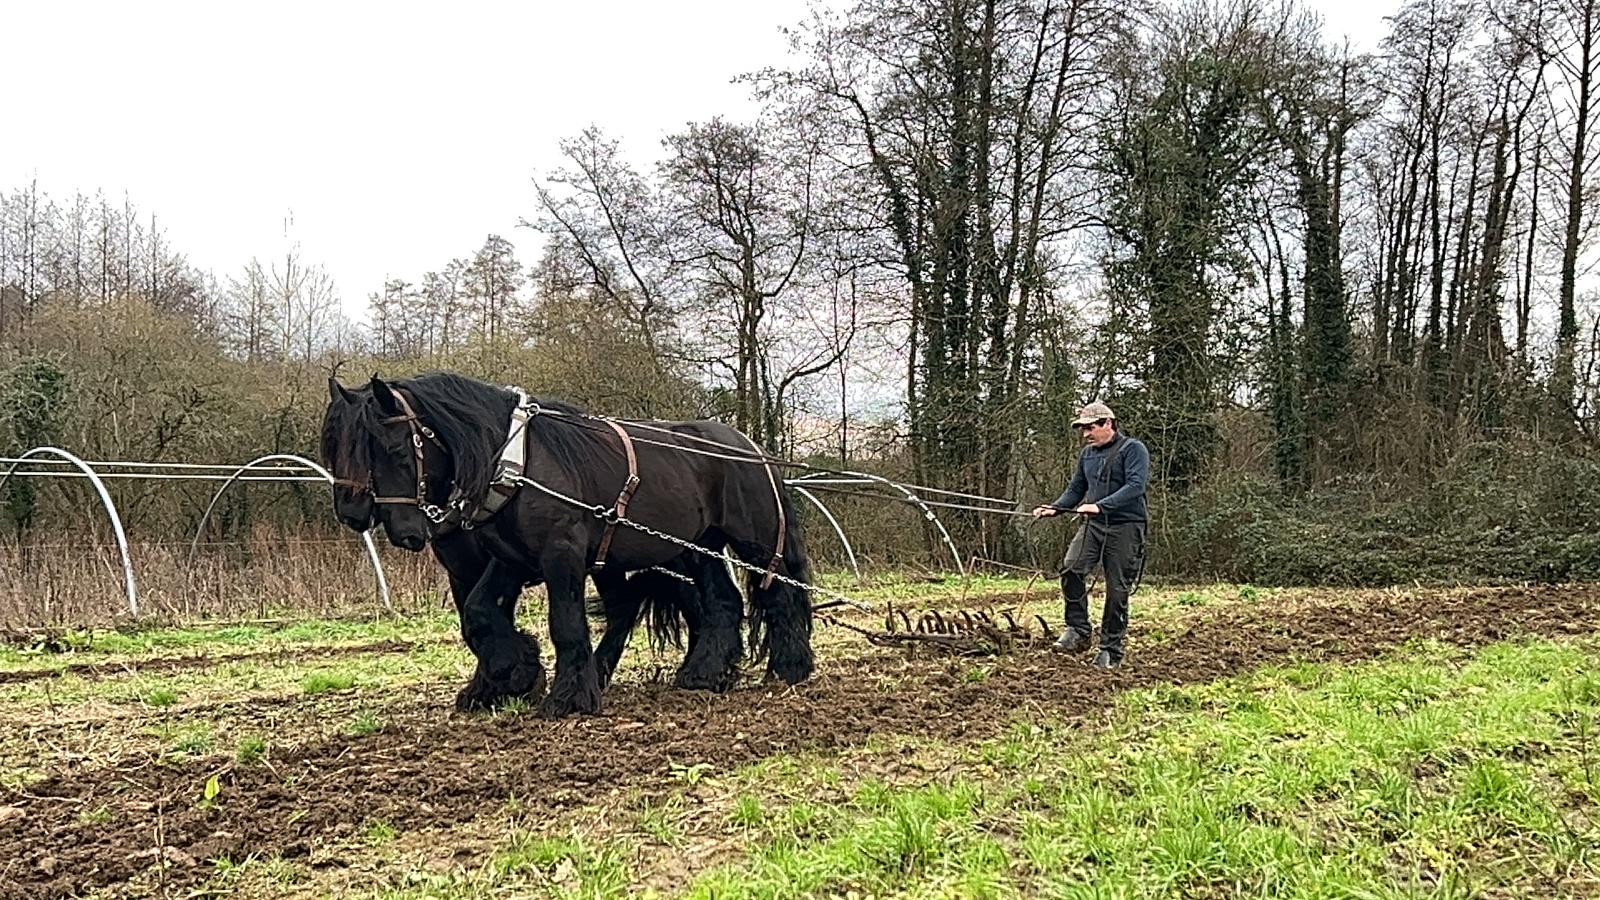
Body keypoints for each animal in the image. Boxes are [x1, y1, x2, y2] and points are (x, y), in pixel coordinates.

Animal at [321, 371, 814, 717]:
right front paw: (512, 672)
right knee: (720, 603)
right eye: (335, 450)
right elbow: (478, 615)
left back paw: (790, 668)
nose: (402, 530)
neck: (517, 462)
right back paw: (704, 673)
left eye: (394, 450)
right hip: (696, 548)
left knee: (779, 594)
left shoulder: (562, 553)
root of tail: (749, 445)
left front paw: (566, 696)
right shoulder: (507, 560)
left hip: (753, 540)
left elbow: (566, 623)